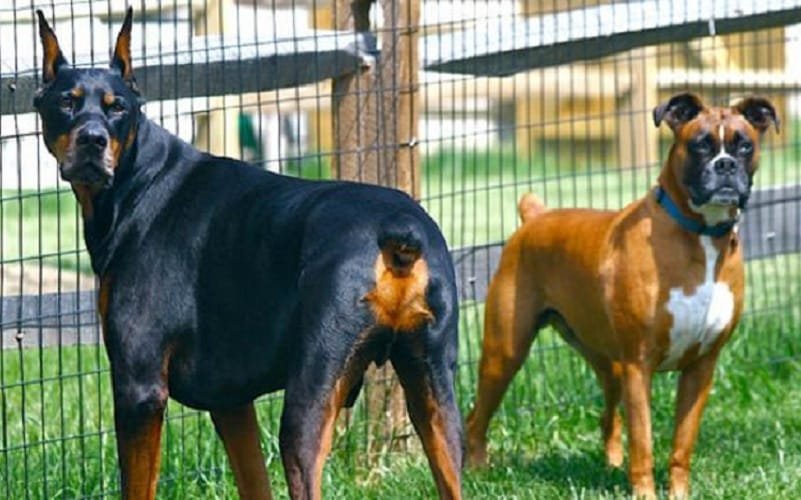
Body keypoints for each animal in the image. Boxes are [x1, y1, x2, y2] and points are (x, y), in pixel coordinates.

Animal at [466, 93, 780, 496]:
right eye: (700, 145)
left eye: (744, 145)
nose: (724, 164)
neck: (701, 236)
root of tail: (536, 216)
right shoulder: (638, 364)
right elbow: (643, 440)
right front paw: (644, 494)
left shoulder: (701, 367)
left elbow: (682, 442)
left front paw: (678, 493)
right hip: (505, 353)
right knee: (476, 418)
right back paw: (475, 471)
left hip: (607, 362)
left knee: (607, 418)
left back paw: (611, 464)